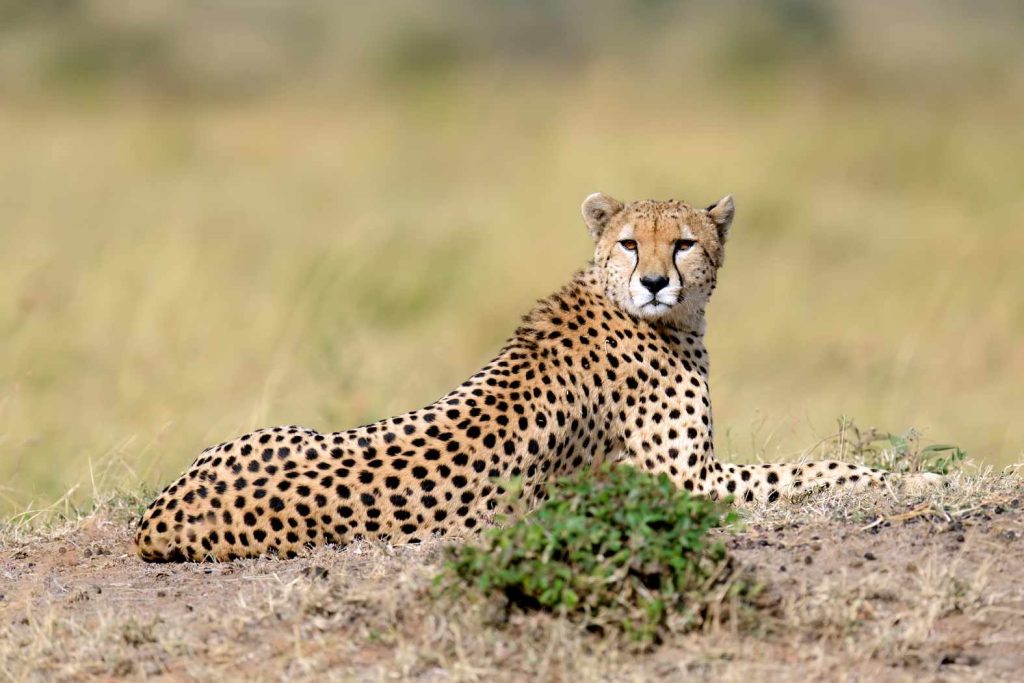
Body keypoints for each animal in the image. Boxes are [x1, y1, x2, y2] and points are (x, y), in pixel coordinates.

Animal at [135, 193, 939, 562]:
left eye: (683, 244)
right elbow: (813, 466)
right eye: (630, 243)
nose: (654, 281)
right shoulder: (691, 482)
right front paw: (917, 477)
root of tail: (153, 521)